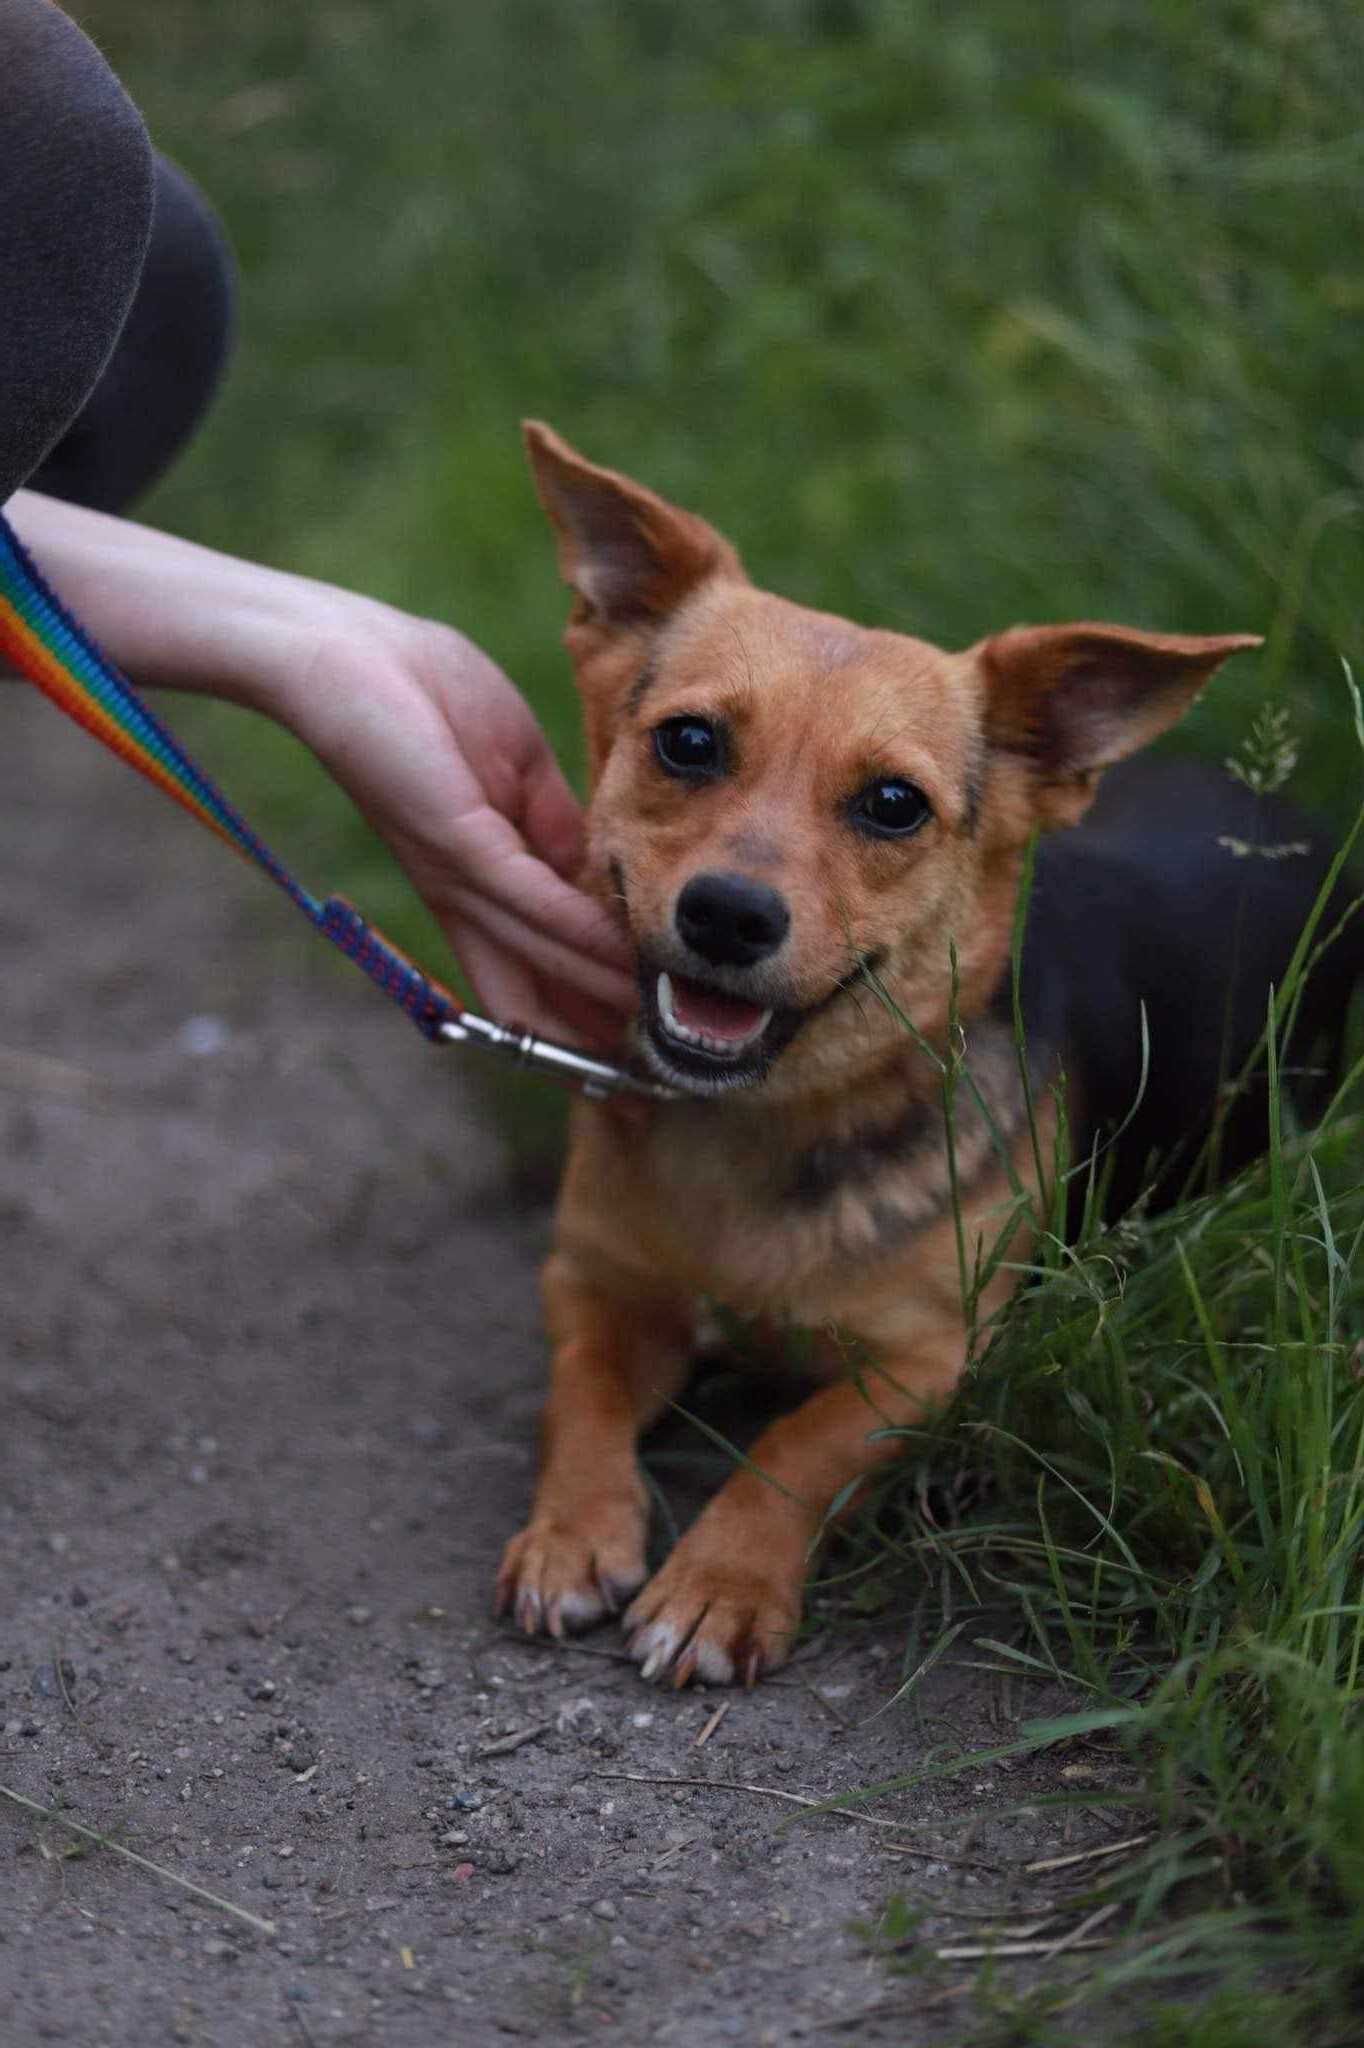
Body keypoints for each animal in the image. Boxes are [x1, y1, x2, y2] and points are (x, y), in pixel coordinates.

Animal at [485, 423, 1253, 1687]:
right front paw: (572, 1527)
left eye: (893, 803)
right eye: (685, 742)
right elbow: (578, 1390)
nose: (729, 914)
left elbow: (799, 1442)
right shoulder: (588, 1280)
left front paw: (717, 1583)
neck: (754, 1124)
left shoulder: (933, 1360)